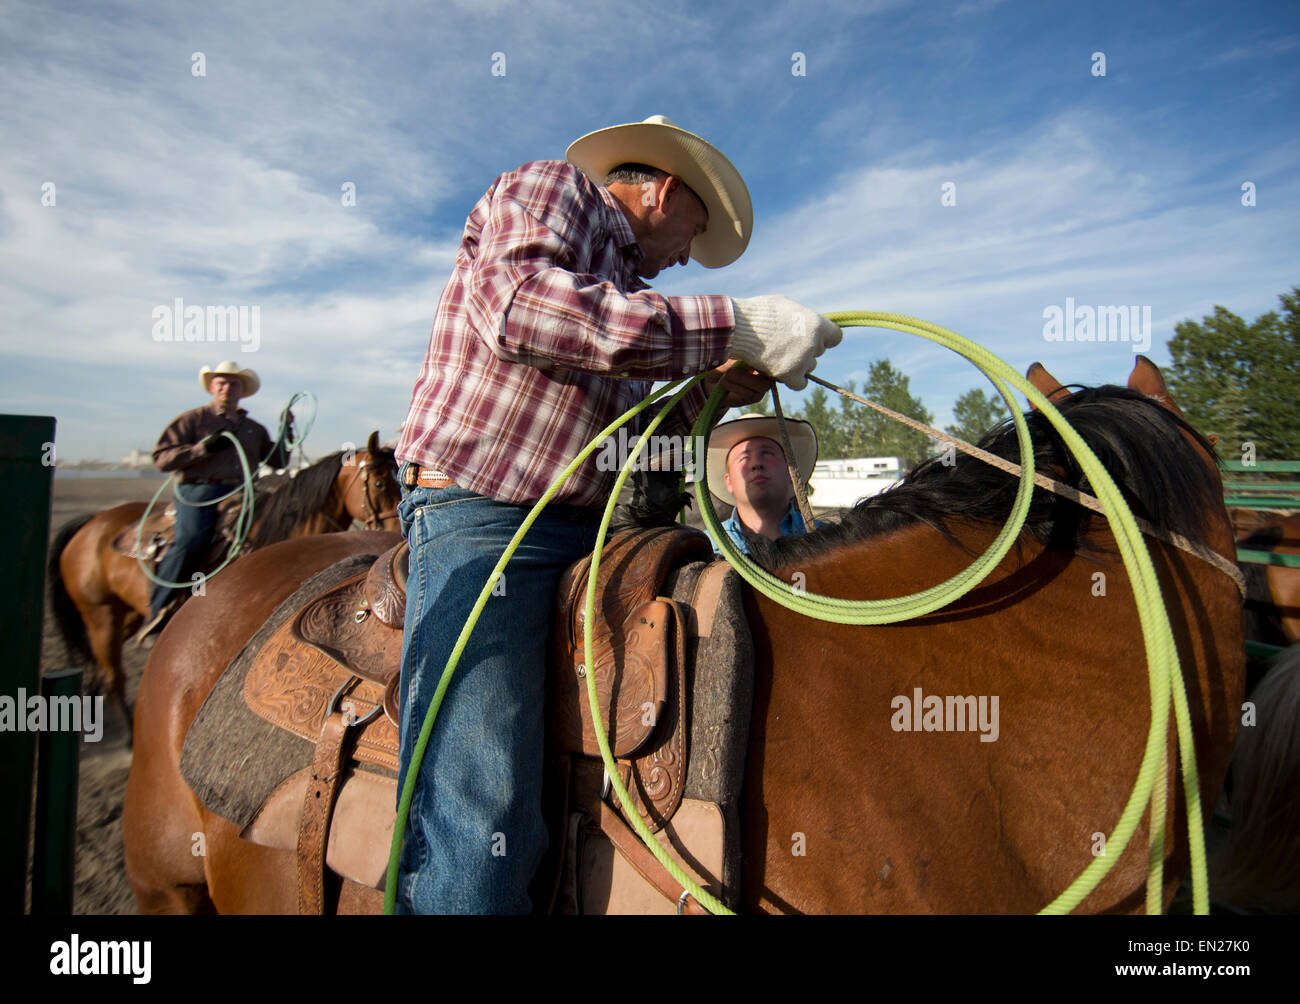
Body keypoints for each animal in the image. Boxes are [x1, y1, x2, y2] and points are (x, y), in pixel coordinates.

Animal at [48, 426, 397, 733]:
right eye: (380, 483)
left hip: (124, 614)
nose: (393, 528)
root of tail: (93, 521)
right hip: (101, 614)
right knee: (114, 676)